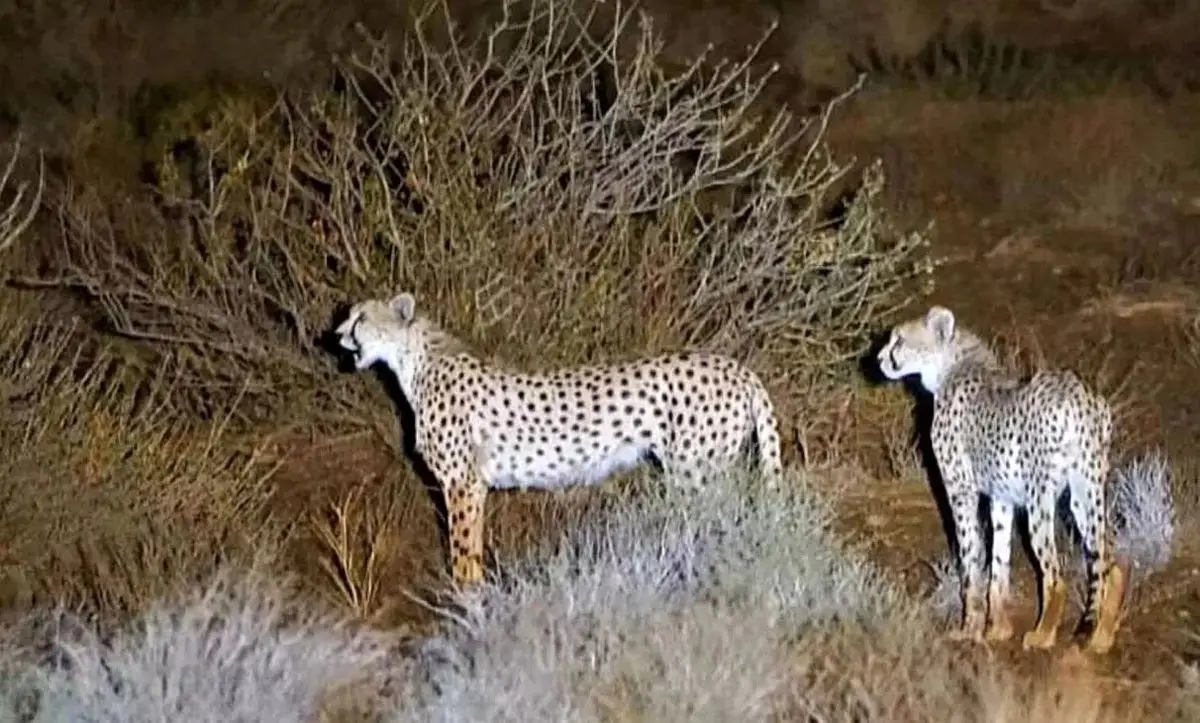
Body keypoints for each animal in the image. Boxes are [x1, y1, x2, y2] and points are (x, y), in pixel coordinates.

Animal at [333, 289, 782, 583]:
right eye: (349, 315)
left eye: (361, 318)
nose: (336, 334)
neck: (414, 362)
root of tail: (736, 367)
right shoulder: (472, 486)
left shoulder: (462, 483)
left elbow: (462, 554)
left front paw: (465, 607)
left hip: (695, 474)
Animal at [873, 303, 1123, 653]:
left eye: (899, 341)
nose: (880, 358)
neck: (950, 365)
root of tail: (1076, 393)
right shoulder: (1000, 498)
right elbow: (999, 561)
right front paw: (998, 629)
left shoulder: (961, 490)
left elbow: (971, 560)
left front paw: (969, 628)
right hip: (1084, 492)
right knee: (1107, 562)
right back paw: (1101, 635)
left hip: (1040, 500)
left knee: (1055, 574)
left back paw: (1043, 634)